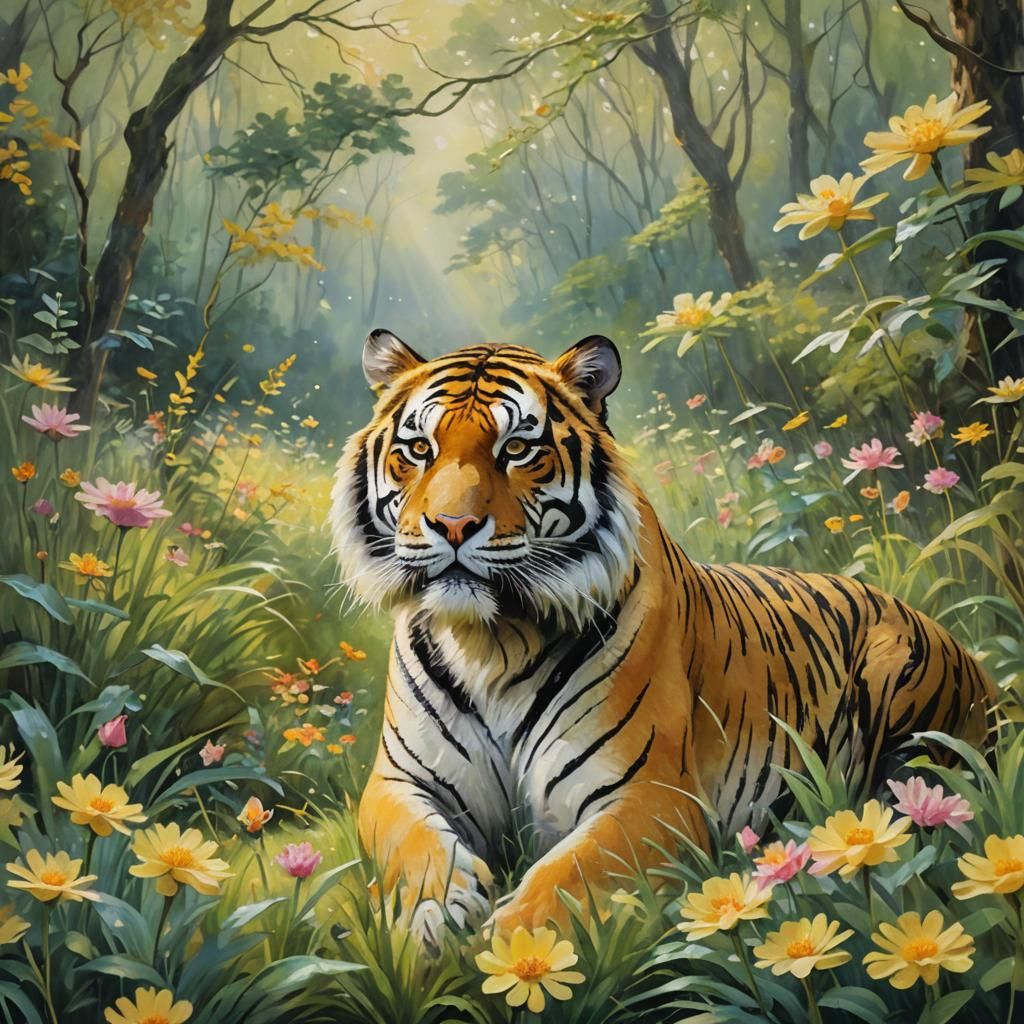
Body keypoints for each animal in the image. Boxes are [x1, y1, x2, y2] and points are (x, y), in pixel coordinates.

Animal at [330, 328, 995, 942]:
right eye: (419, 448)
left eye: (517, 448)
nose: (452, 524)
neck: (491, 640)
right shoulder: (398, 783)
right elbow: (415, 844)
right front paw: (436, 912)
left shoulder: (650, 796)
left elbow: (564, 876)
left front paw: (508, 949)